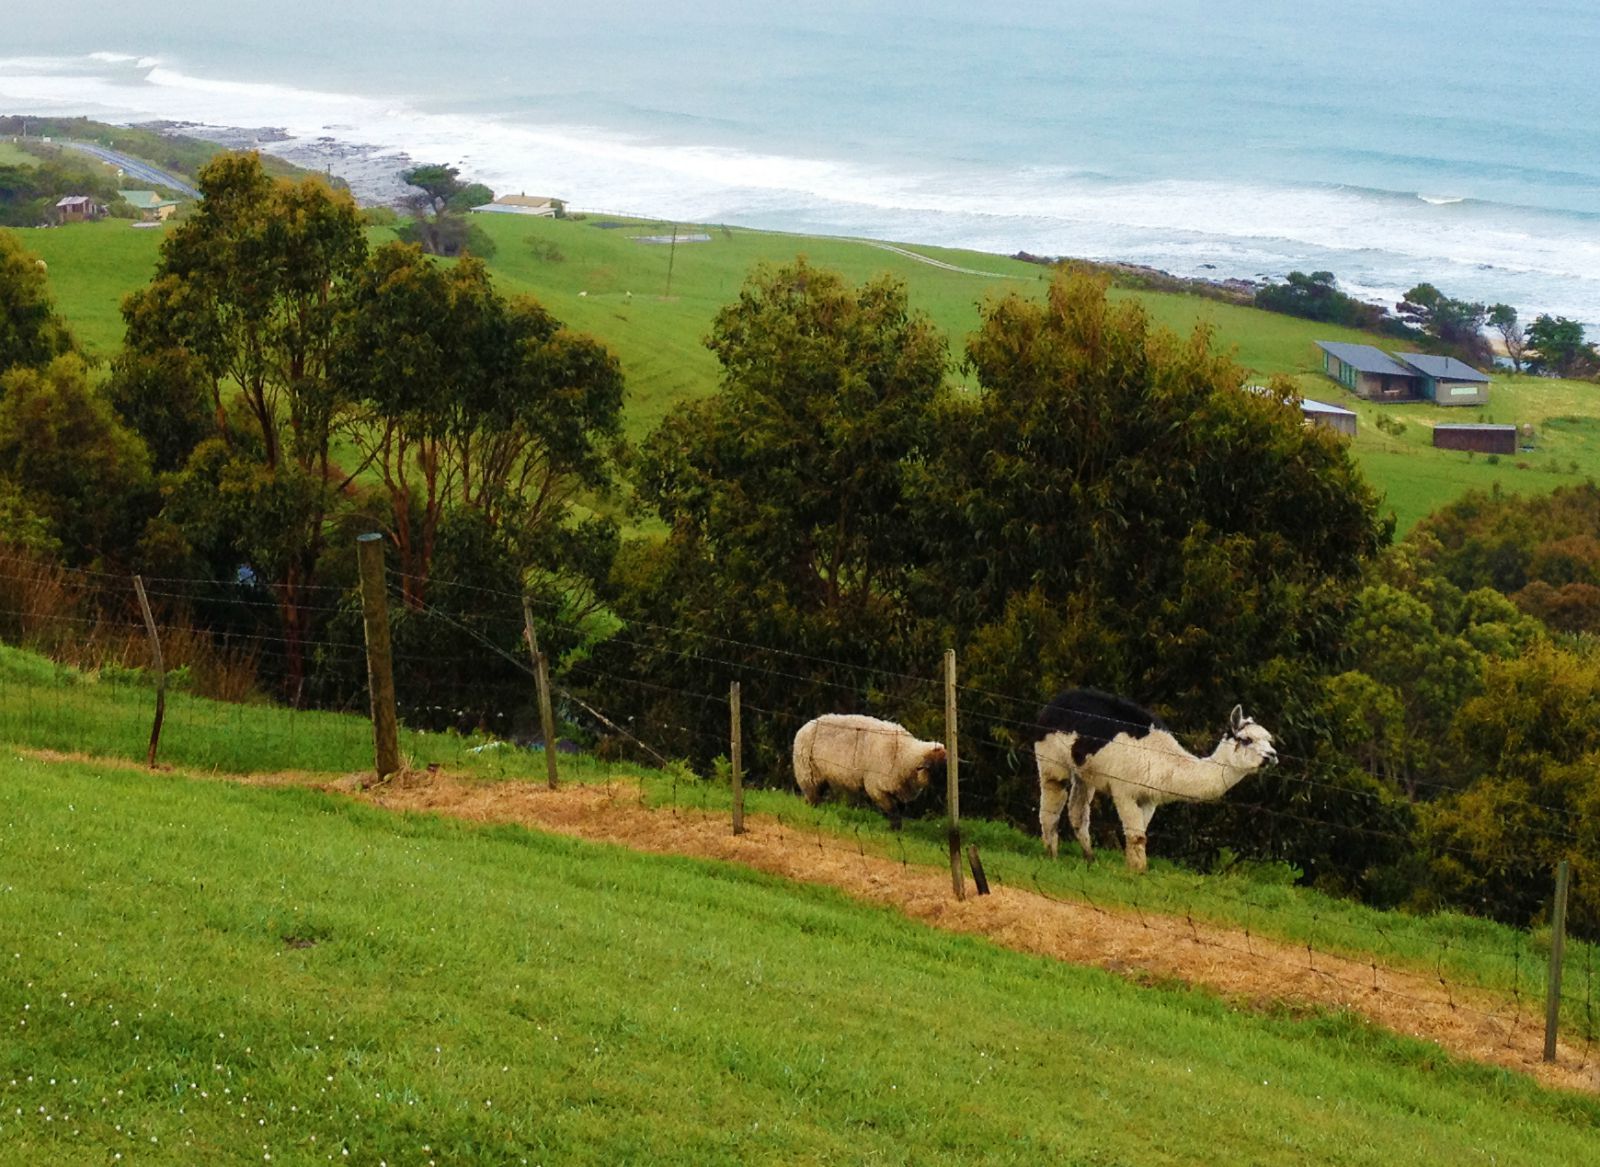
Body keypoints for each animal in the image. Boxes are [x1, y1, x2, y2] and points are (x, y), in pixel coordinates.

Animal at [790, 710, 940, 826]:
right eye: (936, 771)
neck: (905, 755)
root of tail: (805, 726)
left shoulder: (897, 791)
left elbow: (898, 811)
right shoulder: (876, 788)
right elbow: (893, 811)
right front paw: (894, 830)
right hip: (808, 773)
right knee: (812, 796)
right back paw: (813, 812)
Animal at [1030, 688, 1280, 870]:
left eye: (1269, 740)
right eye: (1246, 740)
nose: (1272, 756)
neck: (1163, 763)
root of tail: (1053, 703)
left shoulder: (1149, 799)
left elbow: (1140, 834)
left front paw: (1134, 869)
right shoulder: (1125, 791)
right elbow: (1136, 836)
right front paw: (1137, 873)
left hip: (1084, 773)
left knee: (1078, 813)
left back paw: (1090, 859)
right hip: (1052, 759)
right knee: (1050, 805)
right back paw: (1051, 855)